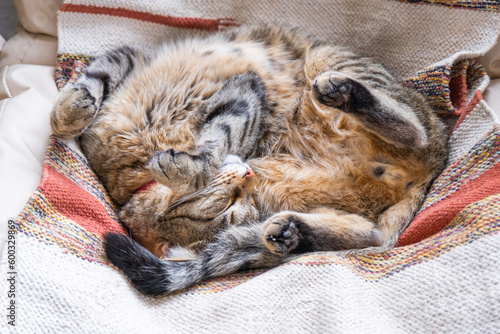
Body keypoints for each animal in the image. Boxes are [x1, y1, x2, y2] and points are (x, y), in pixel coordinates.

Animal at [51, 25, 450, 294]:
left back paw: (343, 92)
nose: (246, 174)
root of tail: (431, 168)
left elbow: (98, 73)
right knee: (363, 234)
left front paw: (67, 112)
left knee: (414, 129)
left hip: (332, 62)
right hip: (342, 217)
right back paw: (289, 233)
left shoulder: (243, 91)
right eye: (230, 206)